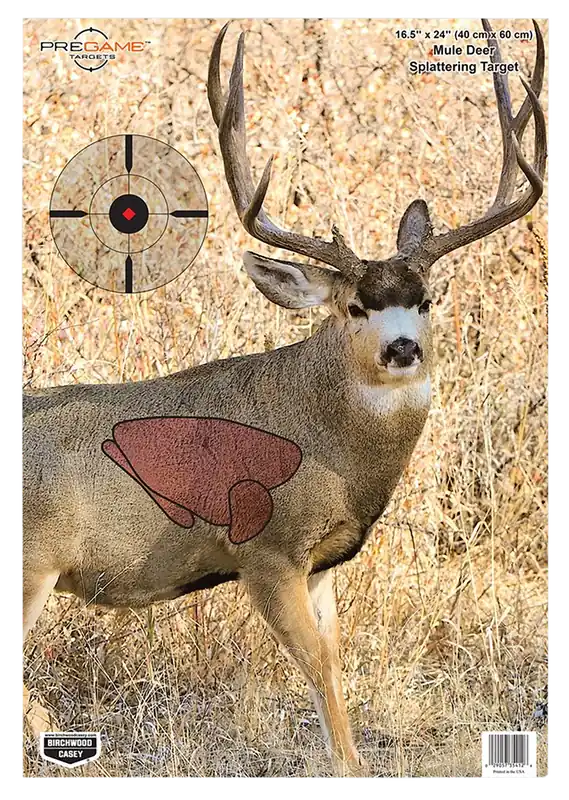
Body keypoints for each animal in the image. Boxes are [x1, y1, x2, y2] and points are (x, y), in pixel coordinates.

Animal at [22, 19, 546, 778]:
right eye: (356, 307)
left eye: (424, 300)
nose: (402, 349)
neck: (329, 447)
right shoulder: (265, 552)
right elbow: (317, 670)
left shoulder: (321, 564)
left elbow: (334, 666)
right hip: (32, 563)